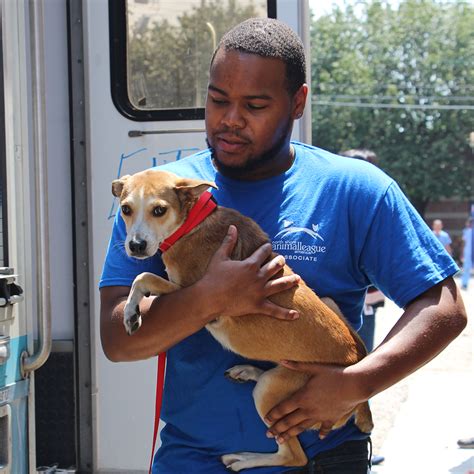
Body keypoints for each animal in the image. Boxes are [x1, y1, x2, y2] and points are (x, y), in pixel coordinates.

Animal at [112, 169, 374, 470]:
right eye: (125, 209)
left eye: (159, 210)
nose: (136, 246)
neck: (194, 222)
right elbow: (143, 278)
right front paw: (131, 311)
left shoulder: (194, 294)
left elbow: (143, 277)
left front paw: (131, 313)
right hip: (327, 305)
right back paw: (248, 372)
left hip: (271, 394)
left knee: (293, 456)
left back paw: (242, 459)